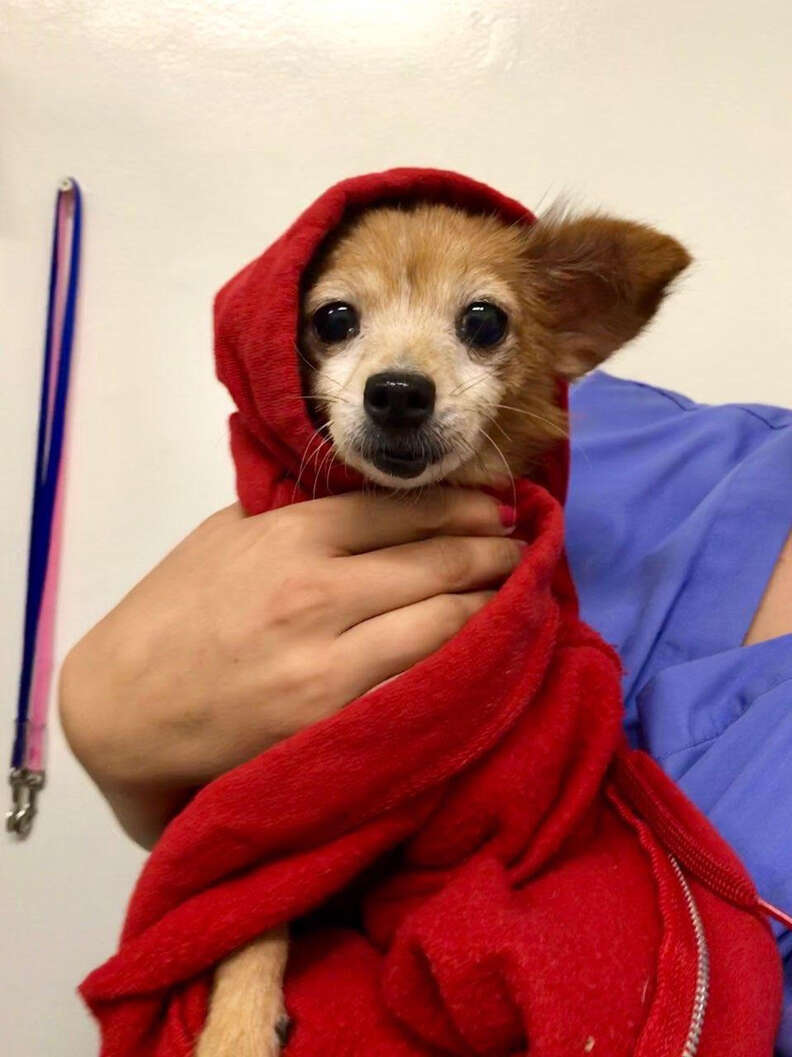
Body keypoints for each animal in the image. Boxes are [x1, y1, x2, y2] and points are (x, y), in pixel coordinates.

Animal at [194, 199, 689, 1057]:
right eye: (333, 319)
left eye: (484, 321)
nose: (397, 391)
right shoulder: (265, 793)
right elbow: (249, 910)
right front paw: (237, 1024)